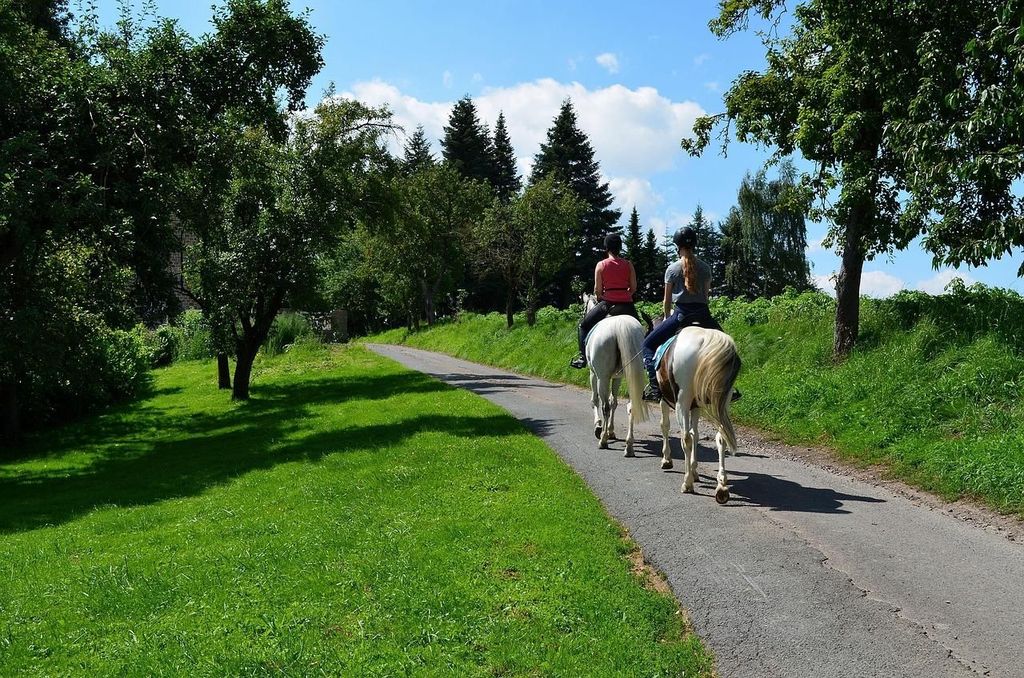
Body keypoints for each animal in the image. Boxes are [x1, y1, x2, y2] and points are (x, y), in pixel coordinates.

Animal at [581, 293, 649, 456]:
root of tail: (621, 325)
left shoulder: (594, 375)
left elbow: (595, 400)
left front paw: (599, 428)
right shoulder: (618, 378)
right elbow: (614, 401)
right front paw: (611, 431)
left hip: (602, 377)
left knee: (605, 406)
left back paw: (603, 441)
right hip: (631, 375)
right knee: (631, 406)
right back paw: (629, 446)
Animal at [655, 326, 741, 504]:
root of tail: (707, 339)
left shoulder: (665, 400)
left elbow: (666, 426)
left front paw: (667, 460)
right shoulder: (696, 407)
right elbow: (696, 434)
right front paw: (695, 471)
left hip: (682, 401)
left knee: (685, 438)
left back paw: (687, 483)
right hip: (722, 401)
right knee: (721, 436)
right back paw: (722, 486)